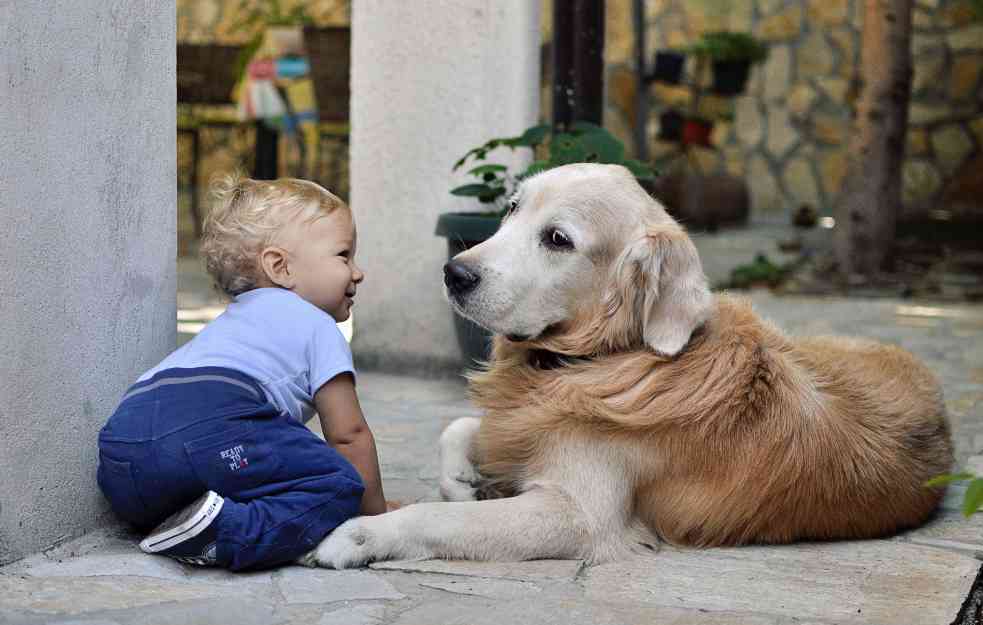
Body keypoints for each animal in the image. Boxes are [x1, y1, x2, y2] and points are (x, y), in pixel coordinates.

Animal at [308, 162, 952, 572]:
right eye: (512, 209)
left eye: (558, 239)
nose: (455, 273)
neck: (599, 359)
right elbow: (460, 428)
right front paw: (468, 479)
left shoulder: (578, 516)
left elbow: (438, 517)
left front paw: (360, 534)